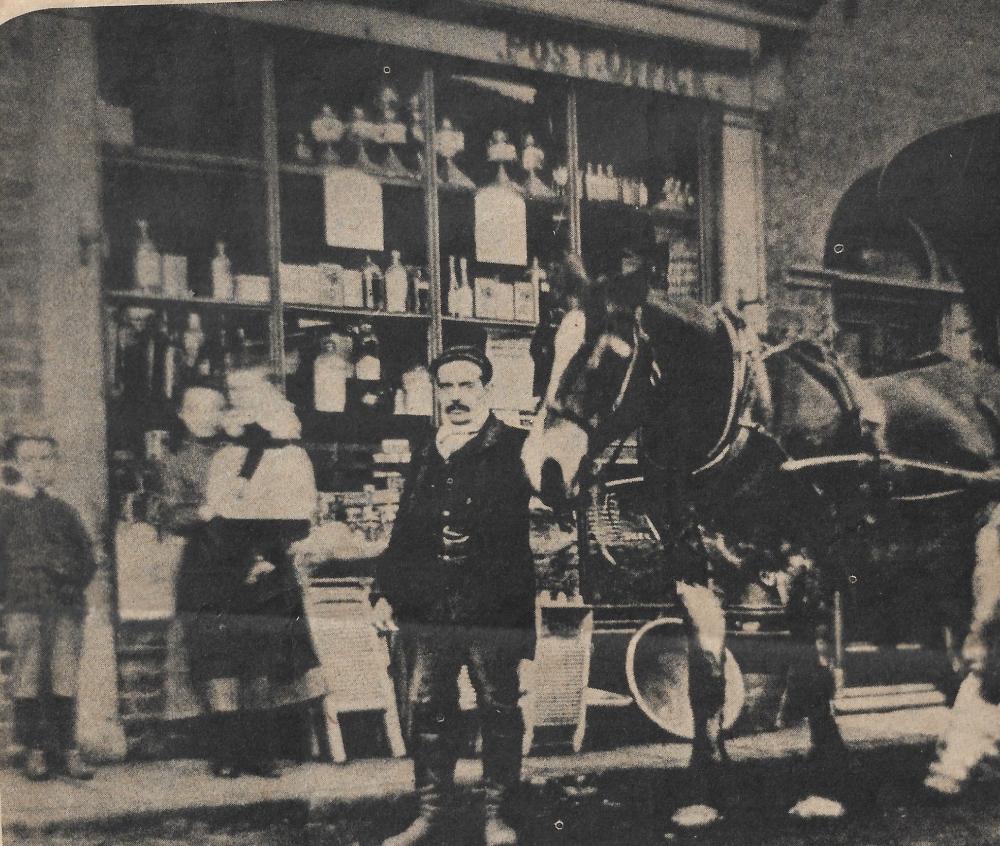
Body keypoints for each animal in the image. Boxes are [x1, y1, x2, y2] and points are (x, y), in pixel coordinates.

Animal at [520, 253, 1000, 828]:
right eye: (542, 349)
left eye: (612, 357)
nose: (545, 468)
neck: (747, 416)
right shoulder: (692, 569)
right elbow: (705, 682)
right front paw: (703, 792)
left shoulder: (802, 563)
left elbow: (812, 673)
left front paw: (825, 786)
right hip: (942, 547)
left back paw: (955, 762)